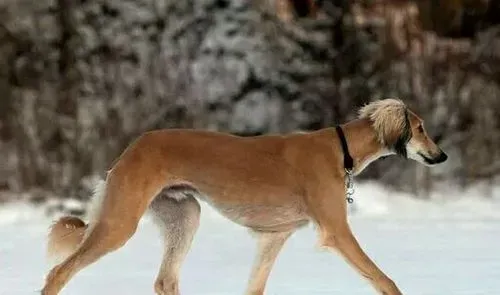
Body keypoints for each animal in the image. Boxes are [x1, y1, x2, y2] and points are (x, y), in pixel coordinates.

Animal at [41, 99, 448, 295]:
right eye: (420, 128)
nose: (441, 155)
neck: (341, 149)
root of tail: (130, 149)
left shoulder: (274, 236)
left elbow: (255, 286)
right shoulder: (336, 230)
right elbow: (383, 279)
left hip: (185, 215)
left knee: (165, 281)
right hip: (120, 222)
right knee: (59, 272)